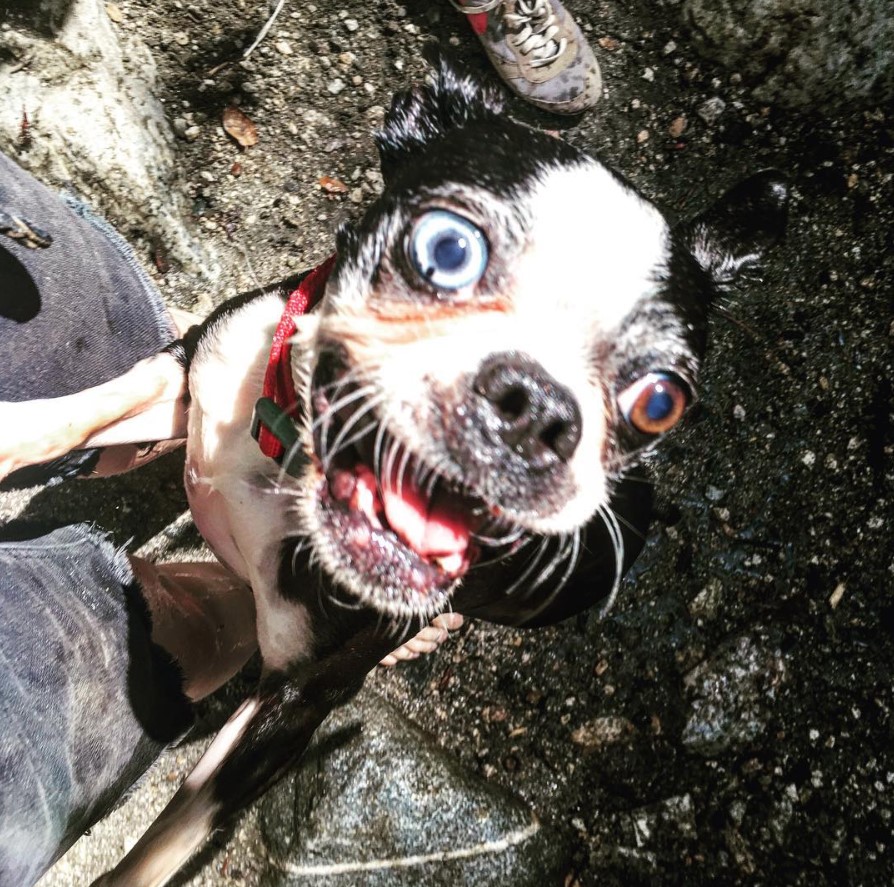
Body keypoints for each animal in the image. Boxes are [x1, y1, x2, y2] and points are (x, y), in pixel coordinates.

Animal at [0, 59, 788, 884]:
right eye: (448, 249)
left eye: (661, 400)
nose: (539, 405)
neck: (287, 462)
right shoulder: (188, 371)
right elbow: (74, 412)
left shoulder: (298, 699)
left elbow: (167, 840)